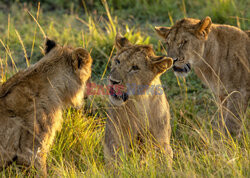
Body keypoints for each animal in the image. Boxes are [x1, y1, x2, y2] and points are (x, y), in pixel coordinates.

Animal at [103, 34, 174, 166]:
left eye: (135, 68)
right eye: (117, 61)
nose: (113, 81)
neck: (140, 102)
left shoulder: (163, 143)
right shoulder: (114, 142)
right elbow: (117, 163)